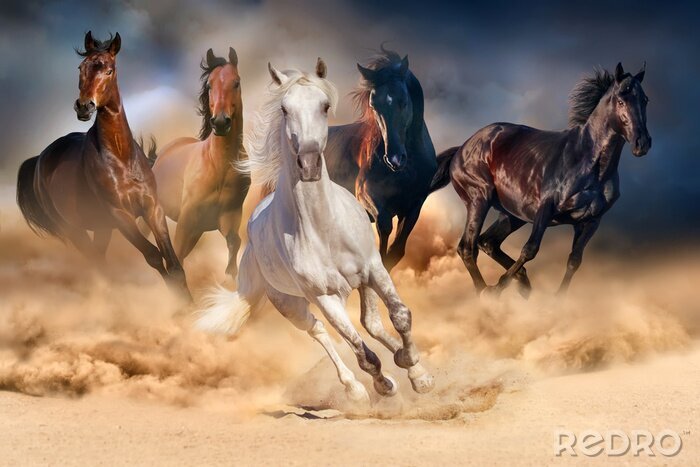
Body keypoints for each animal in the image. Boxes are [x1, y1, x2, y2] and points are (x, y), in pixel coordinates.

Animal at [16, 31, 190, 299]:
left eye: (109, 70)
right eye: (81, 67)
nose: (83, 106)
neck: (122, 158)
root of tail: (39, 160)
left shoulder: (153, 209)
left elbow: (173, 262)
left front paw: (191, 303)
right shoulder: (120, 215)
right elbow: (153, 256)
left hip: (101, 228)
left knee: (99, 259)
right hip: (74, 230)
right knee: (97, 263)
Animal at [149, 48, 248, 277]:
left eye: (236, 82)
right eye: (210, 85)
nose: (220, 122)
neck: (219, 166)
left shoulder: (228, 218)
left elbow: (234, 245)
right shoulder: (187, 220)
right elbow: (176, 259)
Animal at [324, 47, 436, 271]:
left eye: (404, 101)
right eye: (374, 106)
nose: (394, 159)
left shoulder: (414, 206)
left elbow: (396, 251)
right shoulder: (367, 195)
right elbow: (384, 230)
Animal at [430, 63, 651, 297]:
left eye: (645, 99)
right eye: (621, 101)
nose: (642, 143)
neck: (590, 164)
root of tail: (461, 148)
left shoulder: (591, 221)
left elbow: (574, 260)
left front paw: (556, 299)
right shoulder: (546, 208)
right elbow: (530, 249)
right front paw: (498, 288)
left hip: (512, 215)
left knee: (487, 242)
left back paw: (522, 282)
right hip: (478, 200)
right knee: (467, 247)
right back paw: (486, 292)